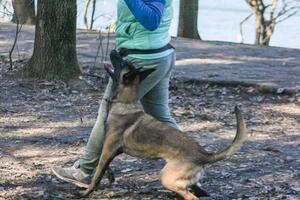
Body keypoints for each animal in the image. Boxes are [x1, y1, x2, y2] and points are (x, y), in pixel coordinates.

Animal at [81, 50, 247, 199]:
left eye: (122, 62)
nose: (115, 50)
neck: (125, 102)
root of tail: (204, 154)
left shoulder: (108, 149)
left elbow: (97, 174)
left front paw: (86, 192)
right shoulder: (110, 150)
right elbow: (103, 166)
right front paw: (110, 176)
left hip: (166, 177)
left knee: (190, 196)